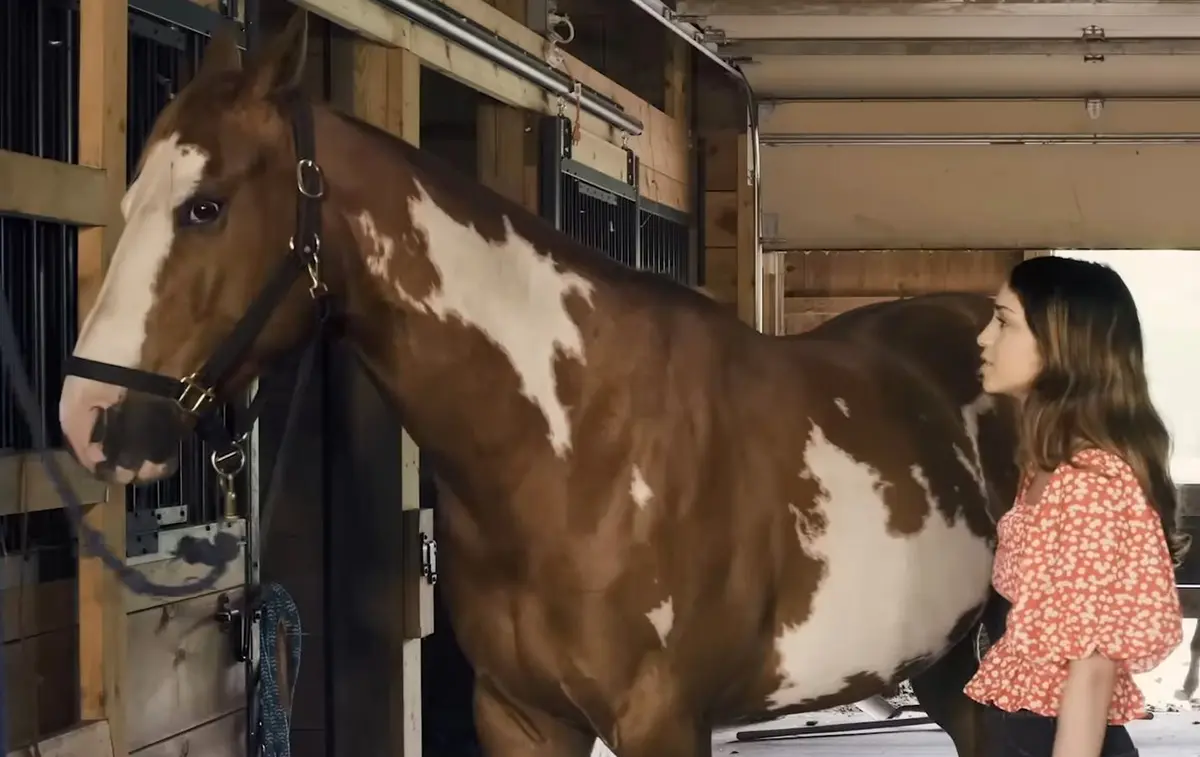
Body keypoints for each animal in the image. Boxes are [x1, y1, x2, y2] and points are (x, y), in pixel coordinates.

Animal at [56, 12, 1020, 757]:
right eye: (133, 197)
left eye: (206, 205)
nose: (87, 416)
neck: (573, 443)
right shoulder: (521, 715)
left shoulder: (662, 720)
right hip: (957, 665)